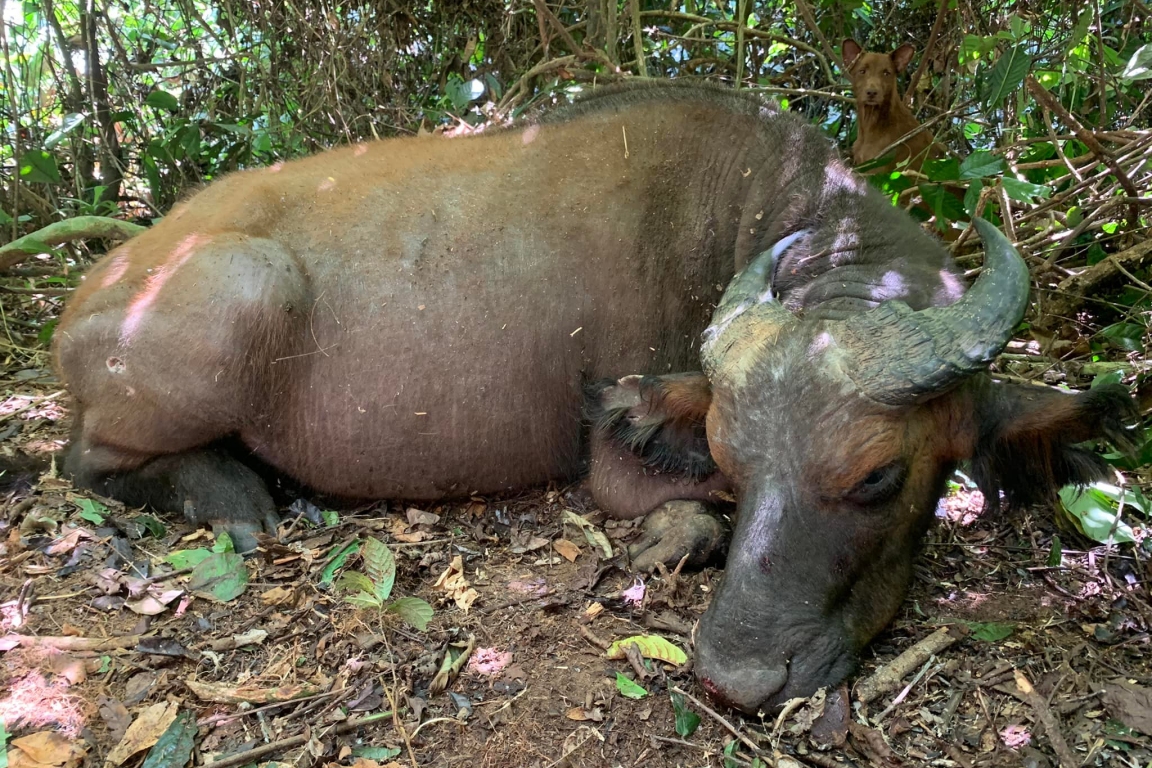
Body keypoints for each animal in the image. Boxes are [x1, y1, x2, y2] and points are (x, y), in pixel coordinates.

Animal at [11, 84, 1142, 713]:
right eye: (735, 460)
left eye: (877, 477)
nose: (736, 679)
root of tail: (93, 291)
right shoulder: (614, 465)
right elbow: (684, 508)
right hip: (241, 290)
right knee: (82, 461)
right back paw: (235, 494)